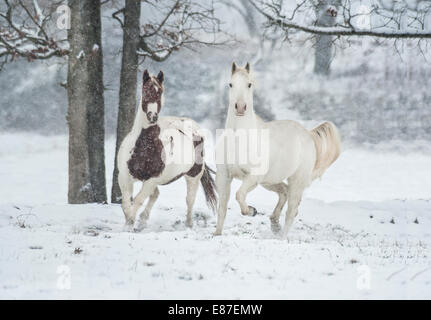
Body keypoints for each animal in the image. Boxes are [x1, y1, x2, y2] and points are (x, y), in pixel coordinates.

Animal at [117, 70, 216, 231]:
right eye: (145, 91)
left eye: (160, 92)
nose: (152, 116)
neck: (144, 146)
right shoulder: (124, 176)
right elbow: (126, 203)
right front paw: (129, 223)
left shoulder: (152, 179)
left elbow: (137, 200)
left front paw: (130, 224)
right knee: (155, 195)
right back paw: (143, 221)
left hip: (193, 176)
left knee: (189, 199)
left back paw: (188, 224)